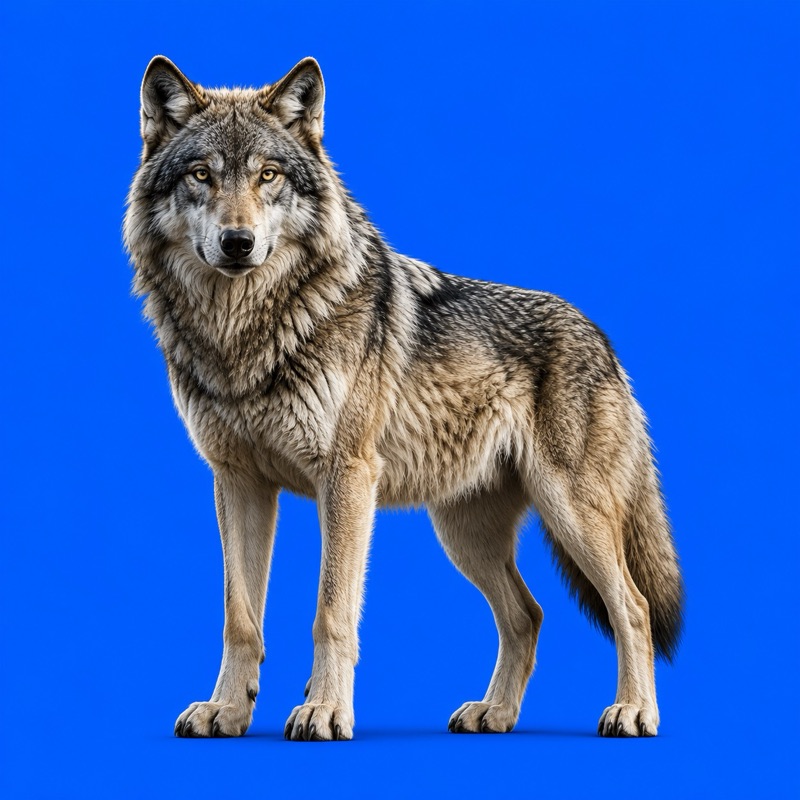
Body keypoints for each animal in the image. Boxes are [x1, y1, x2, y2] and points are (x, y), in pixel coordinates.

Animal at [124, 55, 683, 742]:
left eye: (268, 175)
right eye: (202, 174)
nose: (237, 242)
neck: (245, 334)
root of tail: (602, 337)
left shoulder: (346, 479)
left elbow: (330, 611)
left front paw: (324, 711)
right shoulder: (237, 480)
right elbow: (240, 617)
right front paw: (226, 711)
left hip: (569, 512)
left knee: (631, 605)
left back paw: (634, 711)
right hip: (464, 534)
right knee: (527, 615)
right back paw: (494, 713)